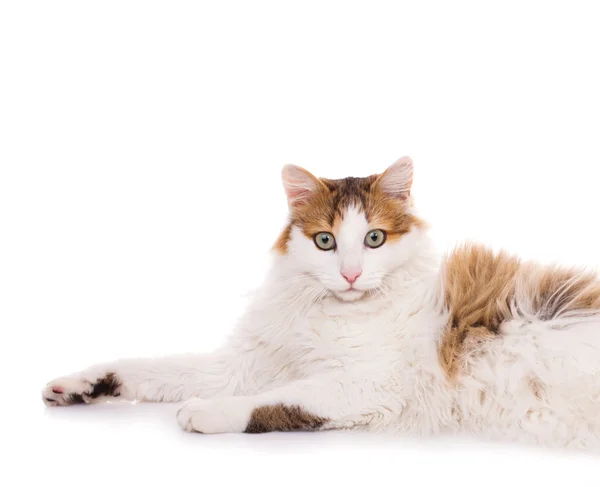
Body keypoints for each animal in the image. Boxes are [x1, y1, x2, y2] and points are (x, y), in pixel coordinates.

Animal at [41, 157, 600, 450]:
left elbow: (276, 402)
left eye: (374, 238)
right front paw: (81, 384)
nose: (350, 273)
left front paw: (205, 412)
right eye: (325, 241)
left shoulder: (370, 385)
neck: (330, 311)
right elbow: (150, 368)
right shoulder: (240, 362)